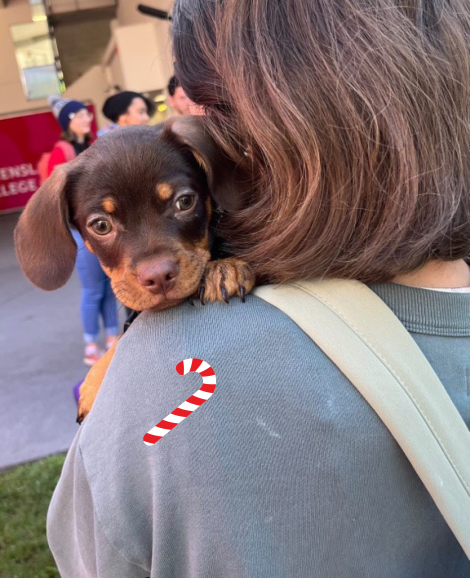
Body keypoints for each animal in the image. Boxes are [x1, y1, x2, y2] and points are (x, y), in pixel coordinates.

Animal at [14, 117, 255, 420]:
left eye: (185, 202)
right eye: (101, 225)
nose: (159, 277)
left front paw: (224, 267)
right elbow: (121, 335)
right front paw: (93, 381)